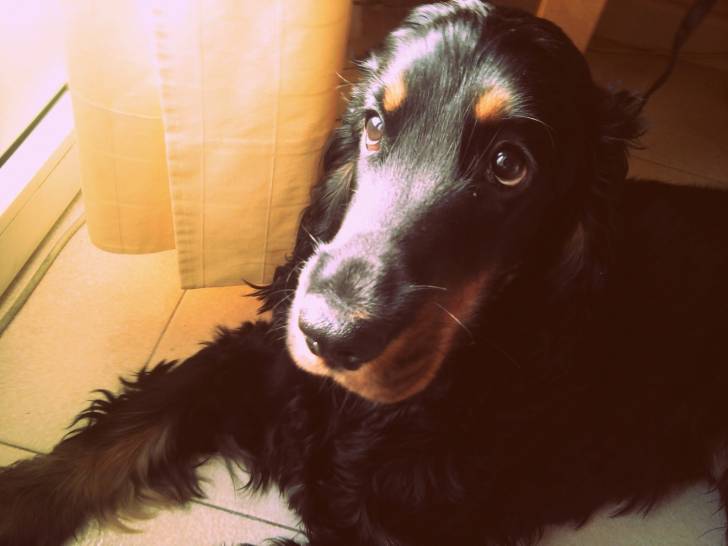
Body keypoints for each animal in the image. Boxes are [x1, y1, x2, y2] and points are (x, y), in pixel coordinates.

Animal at [2, 1, 728, 544]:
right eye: (374, 124)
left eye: (509, 164)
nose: (327, 336)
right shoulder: (261, 363)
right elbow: (126, 427)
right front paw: (23, 499)